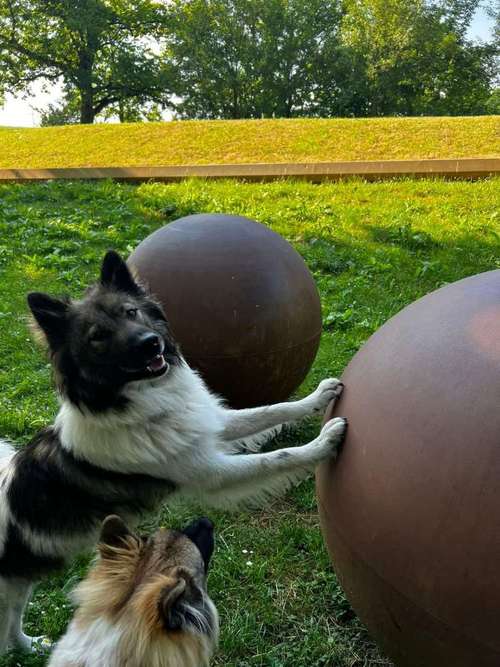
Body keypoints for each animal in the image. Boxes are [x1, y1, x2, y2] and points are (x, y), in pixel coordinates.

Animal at [0, 250, 346, 652]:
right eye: (97, 336)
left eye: (131, 312)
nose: (152, 343)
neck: (136, 404)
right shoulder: (211, 473)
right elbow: (278, 457)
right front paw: (325, 442)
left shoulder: (209, 425)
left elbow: (269, 411)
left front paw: (317, 398)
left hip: (22, 583)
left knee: (12, 625)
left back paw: (33, 646)